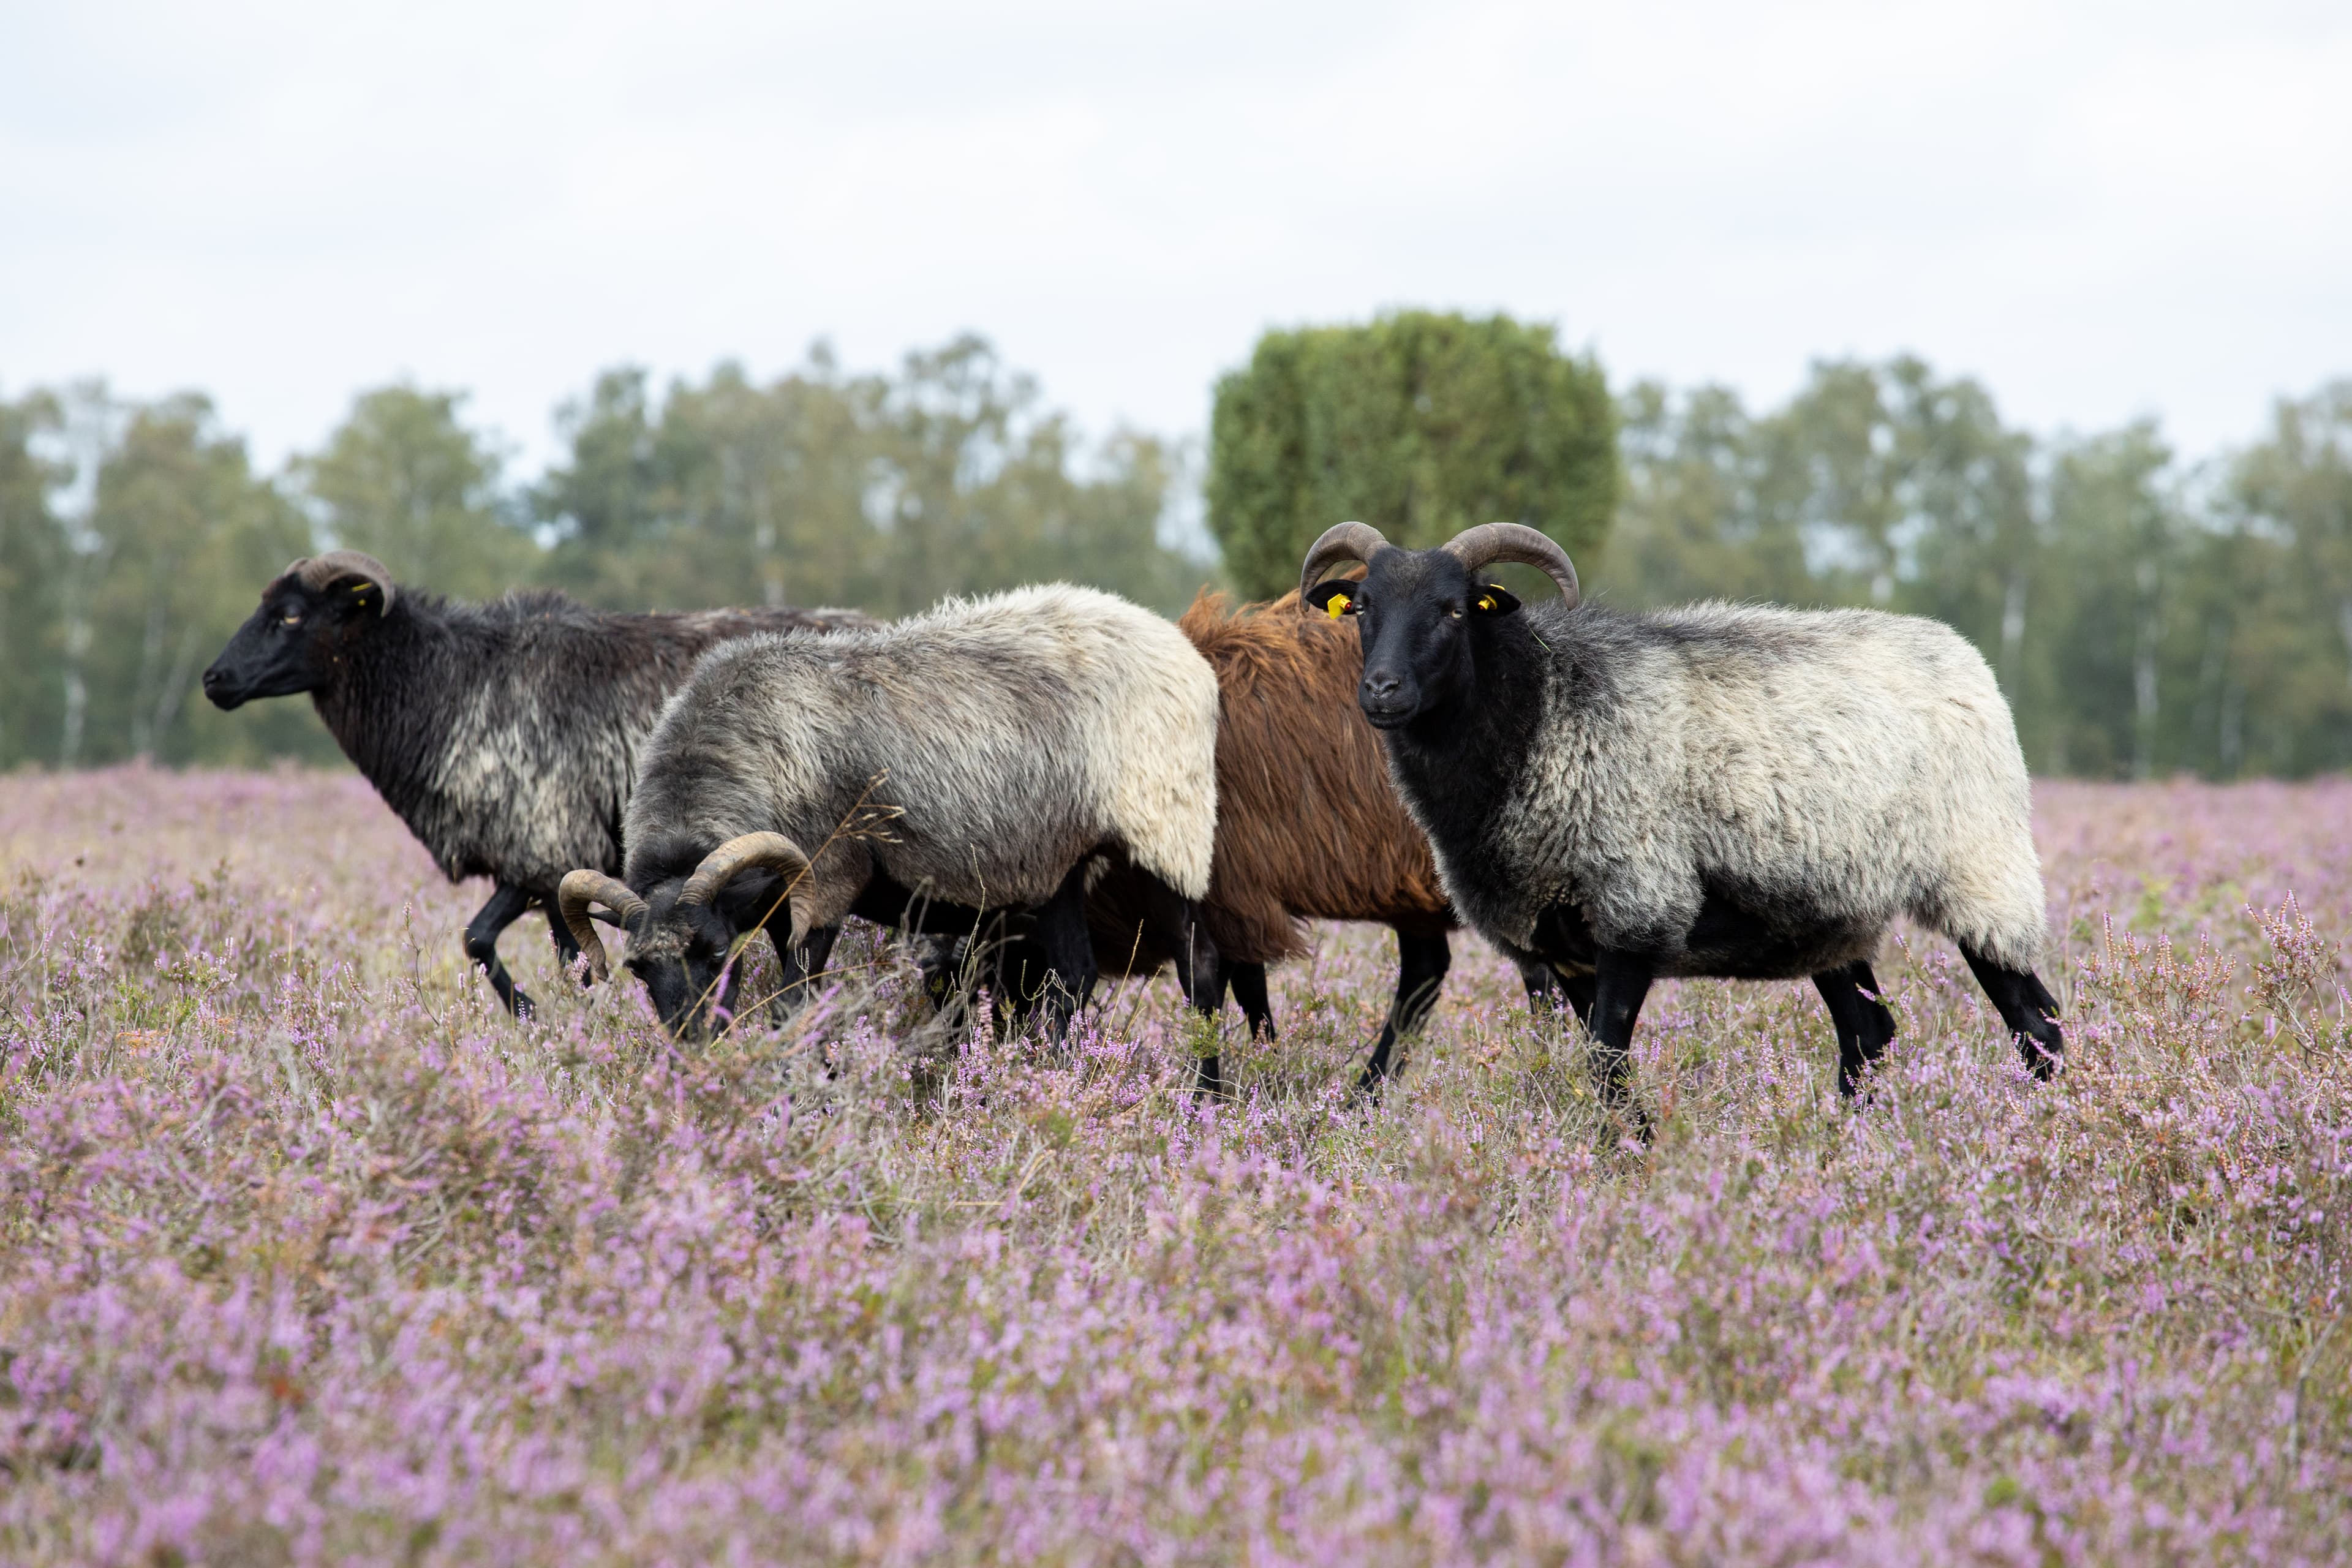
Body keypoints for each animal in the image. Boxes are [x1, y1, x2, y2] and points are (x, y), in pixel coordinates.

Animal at [202, 552, 875, 1020]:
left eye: (291, 615)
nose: (215, 680)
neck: (451, 685)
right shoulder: (538, 865)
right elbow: (500, 943)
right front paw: (547, 1013)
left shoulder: (545, 845)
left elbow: (524, 948)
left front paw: (545, 1014)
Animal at [1082, 582, 1561, 1100]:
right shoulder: (1240, 899)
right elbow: (1246, 986)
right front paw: (1266, 1073)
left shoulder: (1213, 890)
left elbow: (1208, 980)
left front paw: (1209, 1096)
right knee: (1426, 973)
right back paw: (1366, 1096)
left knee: (1533, 975)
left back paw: (1542, 1078)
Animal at [1308, 517, 2060, 1128]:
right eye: (1363, 607)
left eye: (1455, 609)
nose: (1380, 690)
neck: (1543, 711)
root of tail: (1965, 657)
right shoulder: (1566, 944)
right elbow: (1601, 1068)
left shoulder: (1635, 911)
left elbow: (1606, 1061)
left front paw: (1632, 1162)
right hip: (1825, 915)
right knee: (1868, 1035)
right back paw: (1847, 1150)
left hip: (1982, 875)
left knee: (2036, 1024)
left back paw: (2049, 1131)